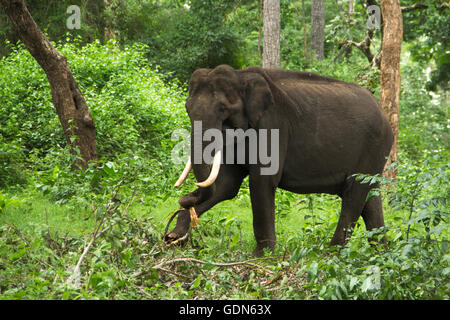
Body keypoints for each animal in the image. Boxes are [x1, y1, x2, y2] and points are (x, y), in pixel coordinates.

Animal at [165, 63, 394, 256]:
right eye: (187, 108)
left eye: (223, 109)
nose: (183, 199)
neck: (241, 76)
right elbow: (226, 185)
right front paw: (175, 238)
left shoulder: (273, 124)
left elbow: (261, 180)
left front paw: (261, 256)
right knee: (370, 196)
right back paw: (381, 255)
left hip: (374, 147)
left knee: (354, 193)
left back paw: (331, 255)